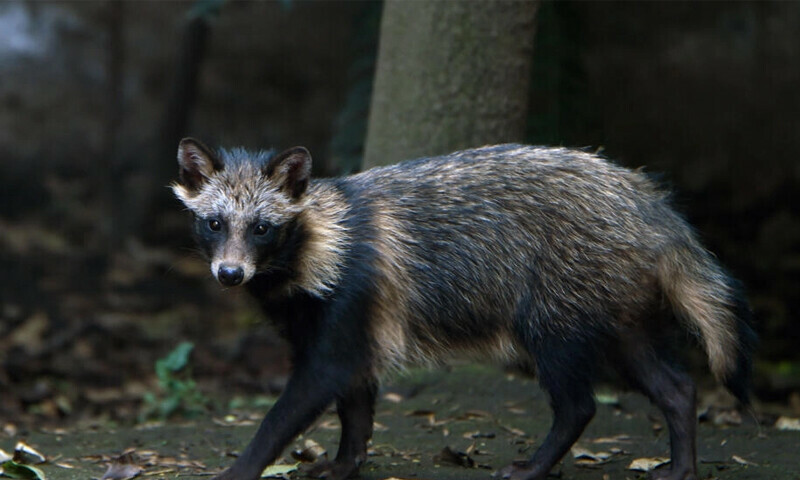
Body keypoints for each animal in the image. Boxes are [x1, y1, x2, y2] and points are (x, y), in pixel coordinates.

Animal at [172, 139, 755, 480]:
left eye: (262, 228)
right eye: (215, 223)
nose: (230, 274)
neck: (317, 241)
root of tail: (645, 199)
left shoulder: (349, 304)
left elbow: (295, 404)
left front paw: (244, 466)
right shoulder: (343, 324)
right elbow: (355, 403)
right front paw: (345, 462)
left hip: (556, 306)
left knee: (578, 403)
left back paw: (539, 463)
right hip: (615, 311)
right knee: (674, 385)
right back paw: (681, 461)